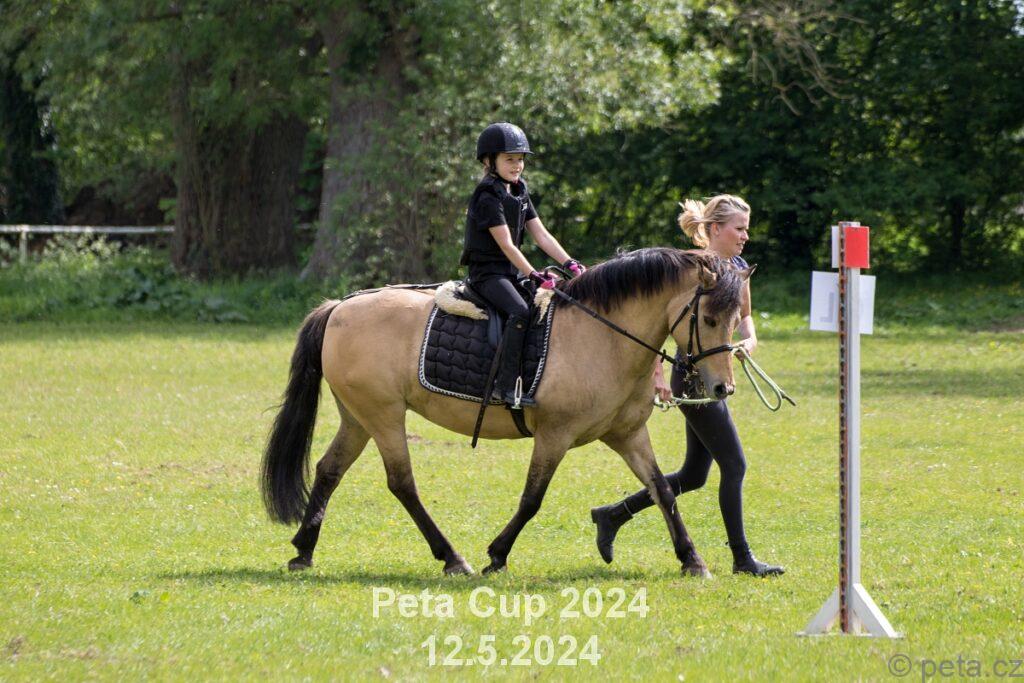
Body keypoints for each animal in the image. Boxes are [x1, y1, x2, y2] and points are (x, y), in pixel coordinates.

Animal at [260, 247, 751, 578]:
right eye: (709, 318)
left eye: (734, 319)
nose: (722, 388)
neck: (603, 336)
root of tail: (340, 306)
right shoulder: (554, 435)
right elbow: (532, 499)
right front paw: (497, 554)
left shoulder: (628, 435)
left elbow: (662, 490)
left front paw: (692, 559)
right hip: (383, 416)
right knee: (402, 484)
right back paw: (451, 557)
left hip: (358, 417)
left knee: (329, 470)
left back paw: (303, 549)